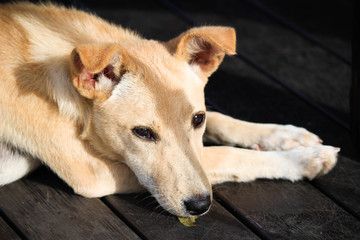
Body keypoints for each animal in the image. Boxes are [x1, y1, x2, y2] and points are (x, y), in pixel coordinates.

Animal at [0, 2, 338, 218]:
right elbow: (227, 155)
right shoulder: (94, 172)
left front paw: (285, 136)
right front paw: (302, 160)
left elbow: (221, 122)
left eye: (197, 119)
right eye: (142, 133)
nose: (200, 206)